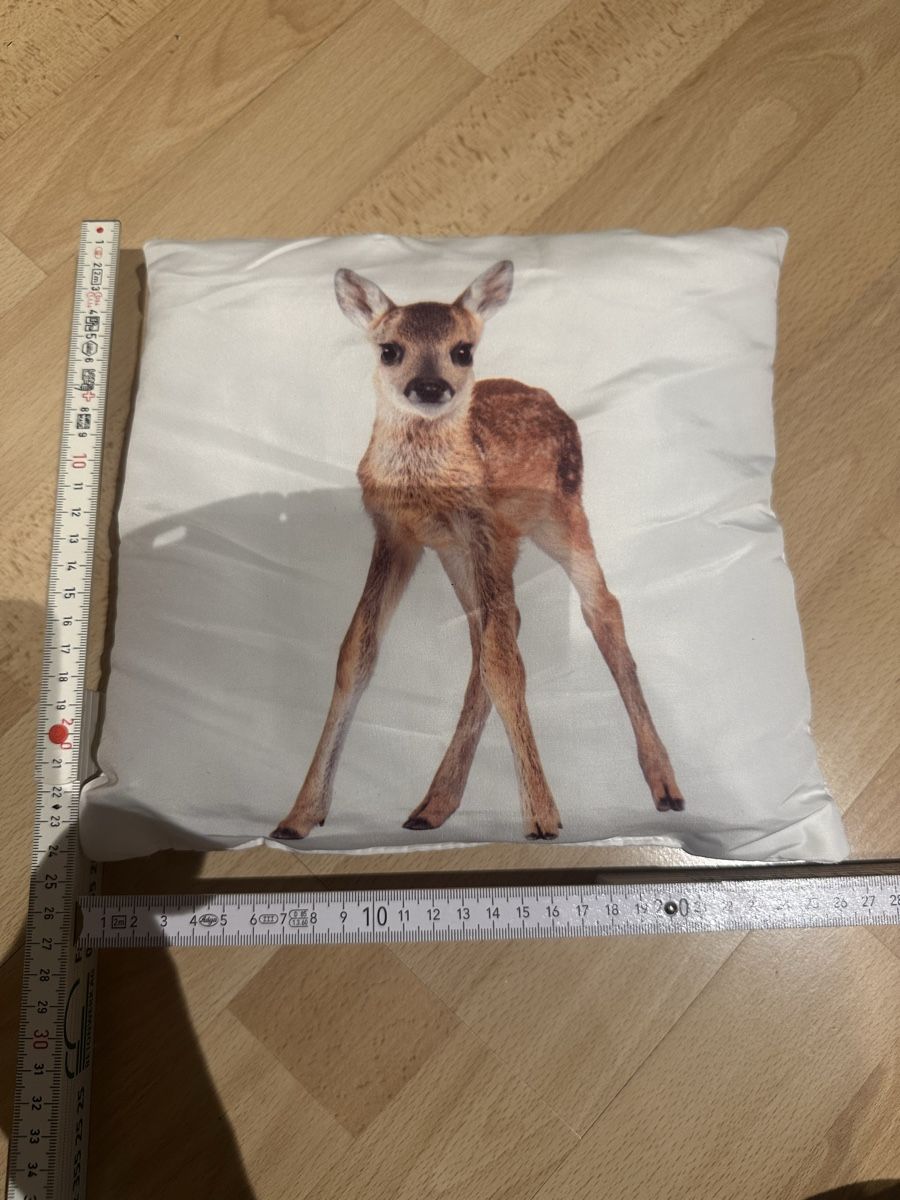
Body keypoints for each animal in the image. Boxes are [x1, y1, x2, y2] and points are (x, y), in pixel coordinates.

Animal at [272, 260, 683, 842]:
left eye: (462, 350)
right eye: (389, 349)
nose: (430, 386)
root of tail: (552, 401)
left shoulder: (482, 528)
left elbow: (505, 664)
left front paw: (543, 818)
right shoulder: (397, 534)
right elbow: (357, 652)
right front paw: (299, 816)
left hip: (560, 515)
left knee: (598, 608)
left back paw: (665, 787)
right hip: (464, 554)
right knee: (493, 631)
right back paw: (431, 805)